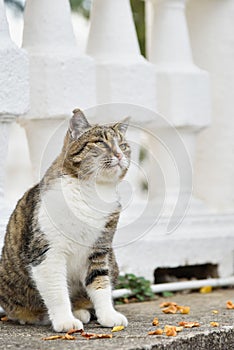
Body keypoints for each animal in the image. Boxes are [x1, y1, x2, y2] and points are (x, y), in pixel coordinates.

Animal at [0, 110, 131, 332]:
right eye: (101, 143)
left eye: (123, 145)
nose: (120, 155)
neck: (92, 192)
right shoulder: (47, 252)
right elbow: (57, 291)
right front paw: (65, 321)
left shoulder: (99, 250)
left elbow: (100, 283)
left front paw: (108, 315)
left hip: (113, 261)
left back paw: (80, 310)